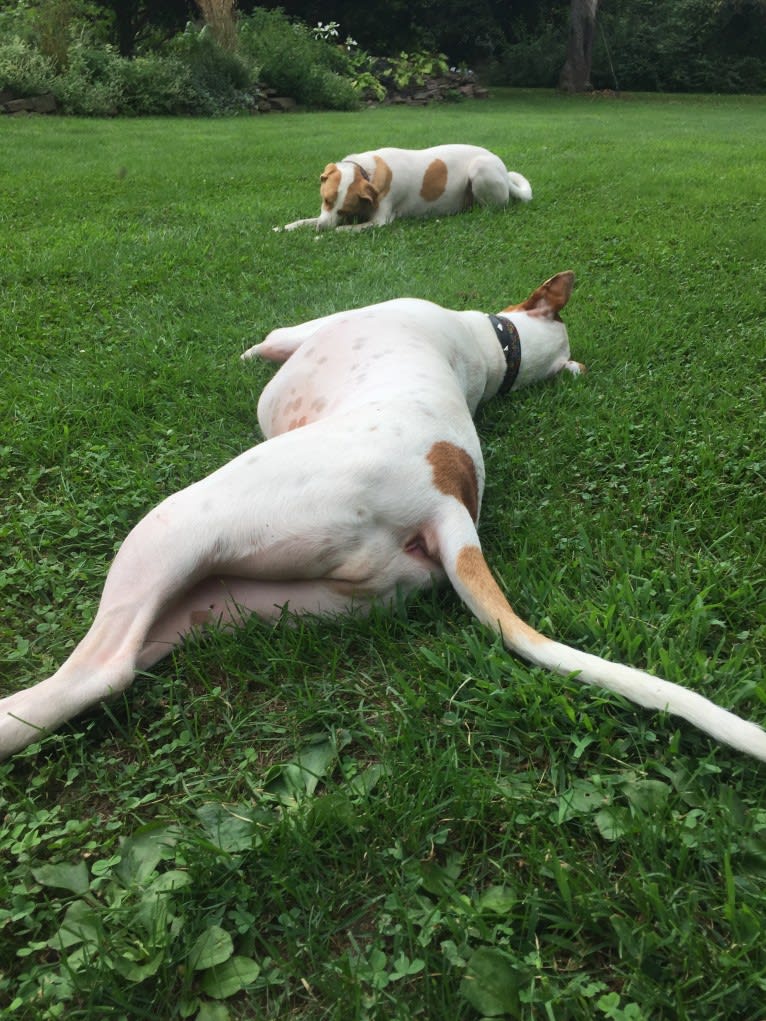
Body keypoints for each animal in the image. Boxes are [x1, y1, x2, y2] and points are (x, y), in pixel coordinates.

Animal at [1, 275, 766, 763]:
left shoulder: (309, 328)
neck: (490, 351)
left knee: (104, 669)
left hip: (181, 525)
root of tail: (445, 502)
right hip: (246, 599)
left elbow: (271, 337)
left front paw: (246, 352)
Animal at [281, 143, 535, 231]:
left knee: (493, 207)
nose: (321, 229)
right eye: (326, 200)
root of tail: (503, 170)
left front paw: (326, 234)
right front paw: (285, 227)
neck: (367, 171)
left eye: (344, 209)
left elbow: (344, 229)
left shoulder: (380, 222)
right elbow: (304, 220)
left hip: (480, 169)